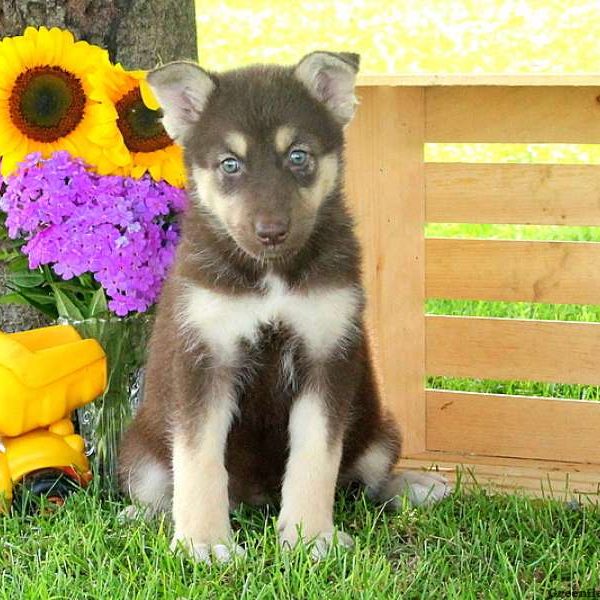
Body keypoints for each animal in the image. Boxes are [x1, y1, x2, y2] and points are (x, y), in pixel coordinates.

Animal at [118, 51, 450, 564]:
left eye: (298, 156)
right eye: (230, 164)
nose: (271, 232)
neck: (271, 277)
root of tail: (257, 498)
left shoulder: (326, 355)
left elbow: (316, 459)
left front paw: (310, 537)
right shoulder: (205, 359)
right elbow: (198, 463)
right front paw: (204, 543)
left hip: (380, 433)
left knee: (365, 483)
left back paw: (412, 487)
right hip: (140, 454)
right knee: (159, 488)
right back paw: (142, 516)